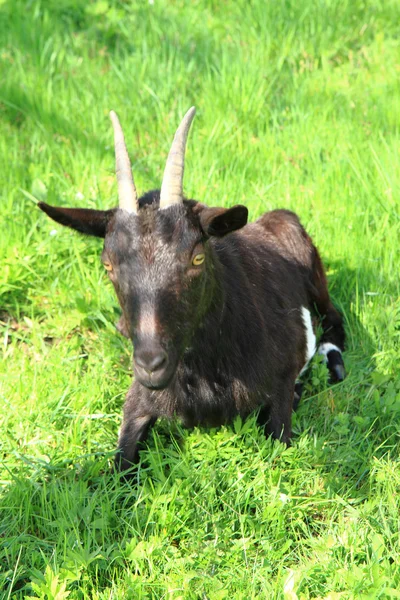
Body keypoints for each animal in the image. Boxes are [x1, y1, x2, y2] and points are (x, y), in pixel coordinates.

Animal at [37, 108, 346, 474]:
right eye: (108, 264)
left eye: (197, 256)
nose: (151, 363)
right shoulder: (138, 401)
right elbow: (120, 467)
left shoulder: (281, 382)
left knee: (334, 315)